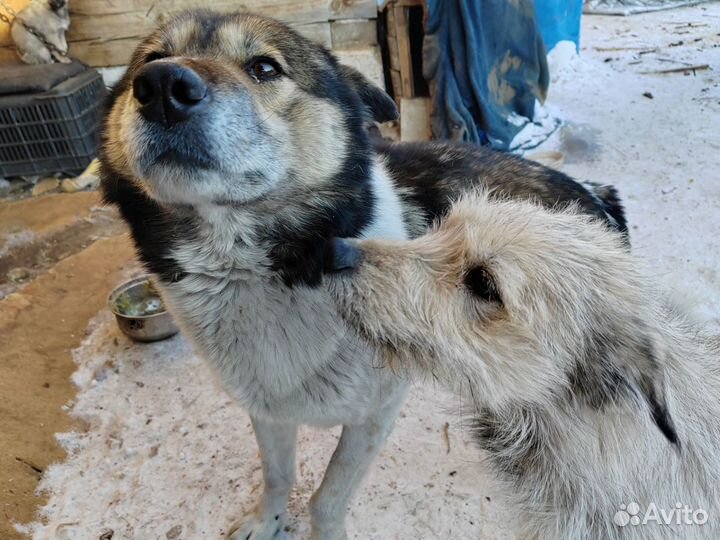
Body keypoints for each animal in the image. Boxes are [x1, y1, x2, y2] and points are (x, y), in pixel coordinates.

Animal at [101, 9, 632, 540]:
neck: (256, 272)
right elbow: (278, 475)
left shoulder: (374, 414)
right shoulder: (267, 409)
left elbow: (327, 499)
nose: (162, 85)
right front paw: (266, 521)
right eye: (150, 60)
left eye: (264, 68)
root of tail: (593, 193)